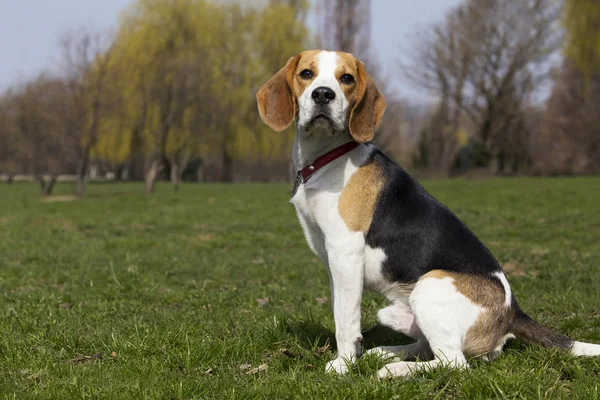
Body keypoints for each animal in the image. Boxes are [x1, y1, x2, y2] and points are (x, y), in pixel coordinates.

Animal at [254, 50, 600, 378]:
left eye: (347, 78)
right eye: (306, 73)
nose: (323, 95)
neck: (327, 157)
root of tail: (512, 311)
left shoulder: (344, 250)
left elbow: (346, 320)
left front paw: (343, 365)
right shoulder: (332, 259)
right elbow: (341, 309)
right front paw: (355, 357)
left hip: (429, 285)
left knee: (453, 363)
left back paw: (395, 370)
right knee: (426, 347)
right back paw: (387, 353)